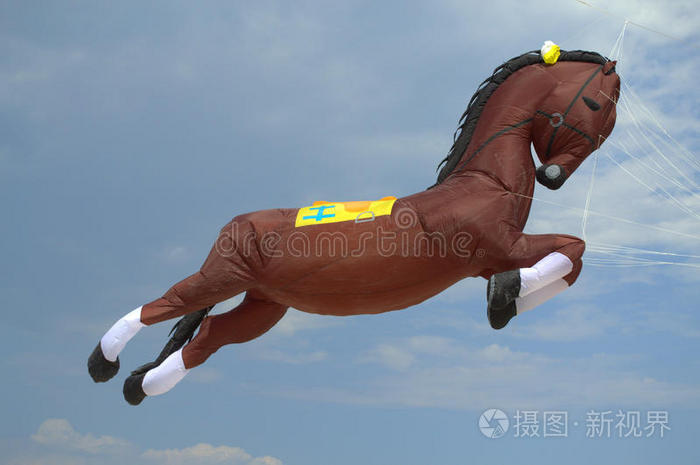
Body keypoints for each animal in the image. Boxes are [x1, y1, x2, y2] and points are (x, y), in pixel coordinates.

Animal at [88, 48, 620, 405]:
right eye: (595, 106)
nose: (553, 177)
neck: (486, 182)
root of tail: (236, 223)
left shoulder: (497, 254)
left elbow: (573, 256)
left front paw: (504, 302)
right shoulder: (500, 246)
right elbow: (573, 248)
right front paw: (504, 297)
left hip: (264, 306)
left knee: (207, 336)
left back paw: (138, 386)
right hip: (222, 276)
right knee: (163, 304)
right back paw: (103, 363)